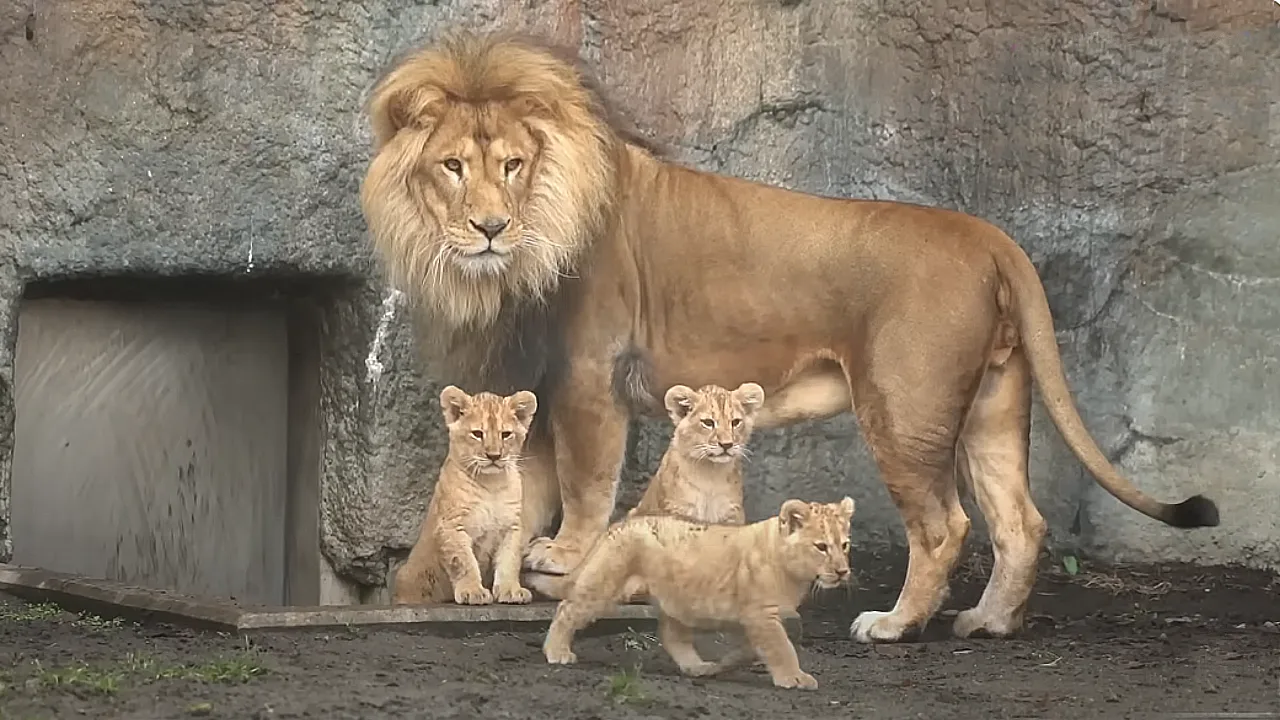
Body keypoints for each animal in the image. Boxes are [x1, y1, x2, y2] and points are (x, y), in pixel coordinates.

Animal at [360, 30, 1218, 640]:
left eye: (512, 163)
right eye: (452, 167)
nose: (490, 228)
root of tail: (988, 236)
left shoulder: (586, 378)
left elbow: (583, 484)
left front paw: (562, 559)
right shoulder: (538, 382)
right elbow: (528, 482)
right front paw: (512, 576)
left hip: (904, 407)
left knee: (946, 526)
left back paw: (896, 625)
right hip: (993, 405)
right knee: (1020, 521)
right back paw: (988, 622)